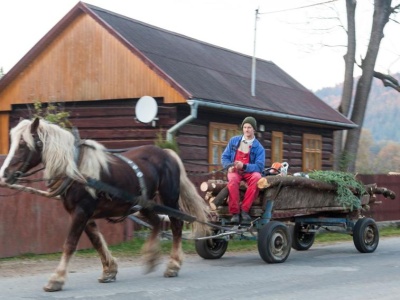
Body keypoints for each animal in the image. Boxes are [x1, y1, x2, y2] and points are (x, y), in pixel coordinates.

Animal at [0, 118, 211, 292]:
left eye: (22, 144)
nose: (5, 174)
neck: (77, 170)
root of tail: (166, 153)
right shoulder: (84, 215)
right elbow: (97, 241)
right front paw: (109, 270)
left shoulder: (81, 212)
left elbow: (70, 244)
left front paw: (57, 279)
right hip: (144, 204)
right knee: (157, 222)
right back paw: (151, 257)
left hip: (169, 199)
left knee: (176, 225)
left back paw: (173, 265)